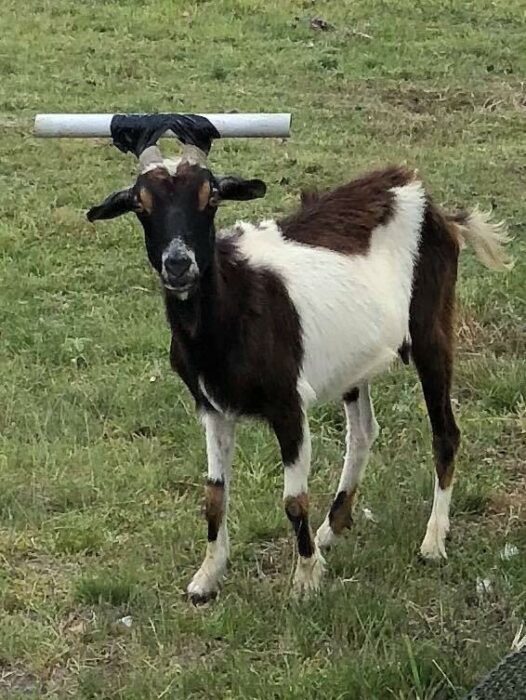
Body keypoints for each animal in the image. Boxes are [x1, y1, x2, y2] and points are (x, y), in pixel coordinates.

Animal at [86, 144, 512, 600]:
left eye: (211, 197)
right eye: (140, 205)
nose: (179, 264)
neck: (234, 306)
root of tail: (430, 203)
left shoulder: (287, 403)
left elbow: (293, 500)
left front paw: (306, 578)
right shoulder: (211, 407)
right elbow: (213, 496)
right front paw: (207, 576)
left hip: (431, 326)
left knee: (445, 431)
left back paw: (433, 540)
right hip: (352, 363)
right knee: (363, 432)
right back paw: (331, 528)